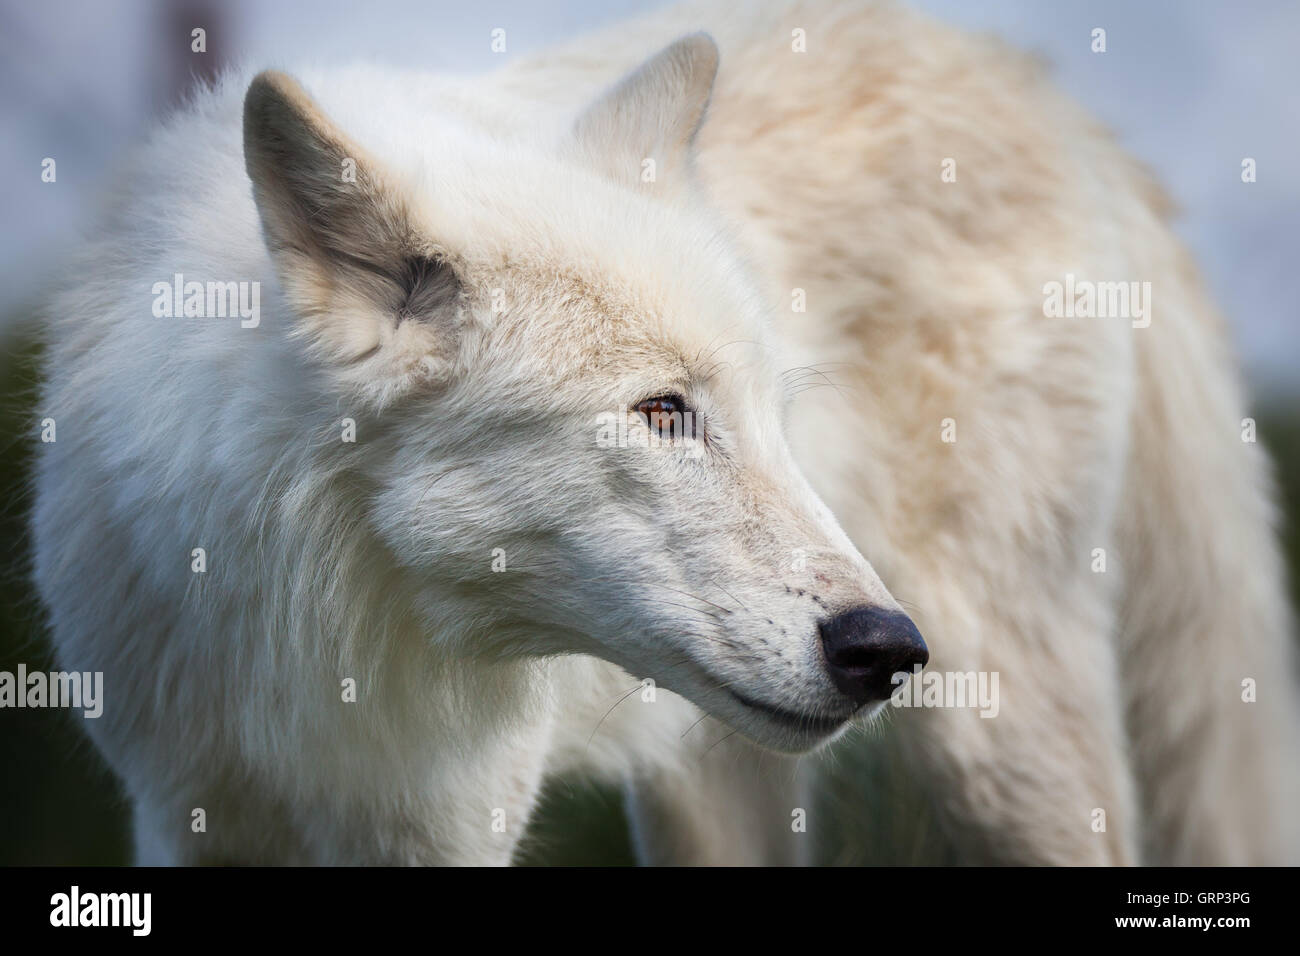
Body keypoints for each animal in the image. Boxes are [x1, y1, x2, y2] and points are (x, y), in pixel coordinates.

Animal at [30, 0, 1300, 868]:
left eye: (770, 417)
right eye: (662, 412)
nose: (886, 646)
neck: (327, 615)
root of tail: (1029, 82)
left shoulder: (453, 822)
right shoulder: (185, 809)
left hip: (1005, 750)